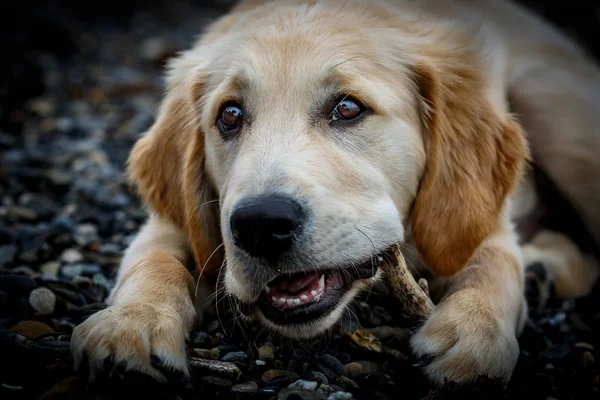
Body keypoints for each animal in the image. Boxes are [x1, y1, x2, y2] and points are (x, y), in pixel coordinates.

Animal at [70, 0, 600, 388]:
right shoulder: (171, 221)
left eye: (347, 108)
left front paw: (474, 331)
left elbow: (494, 260)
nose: (260, 226)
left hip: (556, 115)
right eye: (230, 115)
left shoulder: (480, 216)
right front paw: (131, 323)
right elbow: (154, 258)